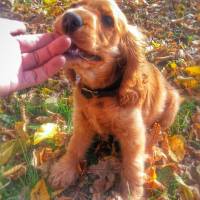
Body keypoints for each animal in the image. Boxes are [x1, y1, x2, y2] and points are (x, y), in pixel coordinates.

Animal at [48, 0, 181, 198]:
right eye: (75, 5)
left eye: (108, 20)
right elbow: (74, 145)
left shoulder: (133, 133)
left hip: (172, 105)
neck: (98, 94)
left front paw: (130, 192)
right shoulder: (81, 120)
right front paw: (64, 170)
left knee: (157, 133)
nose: (70, 18)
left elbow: (132, 164)